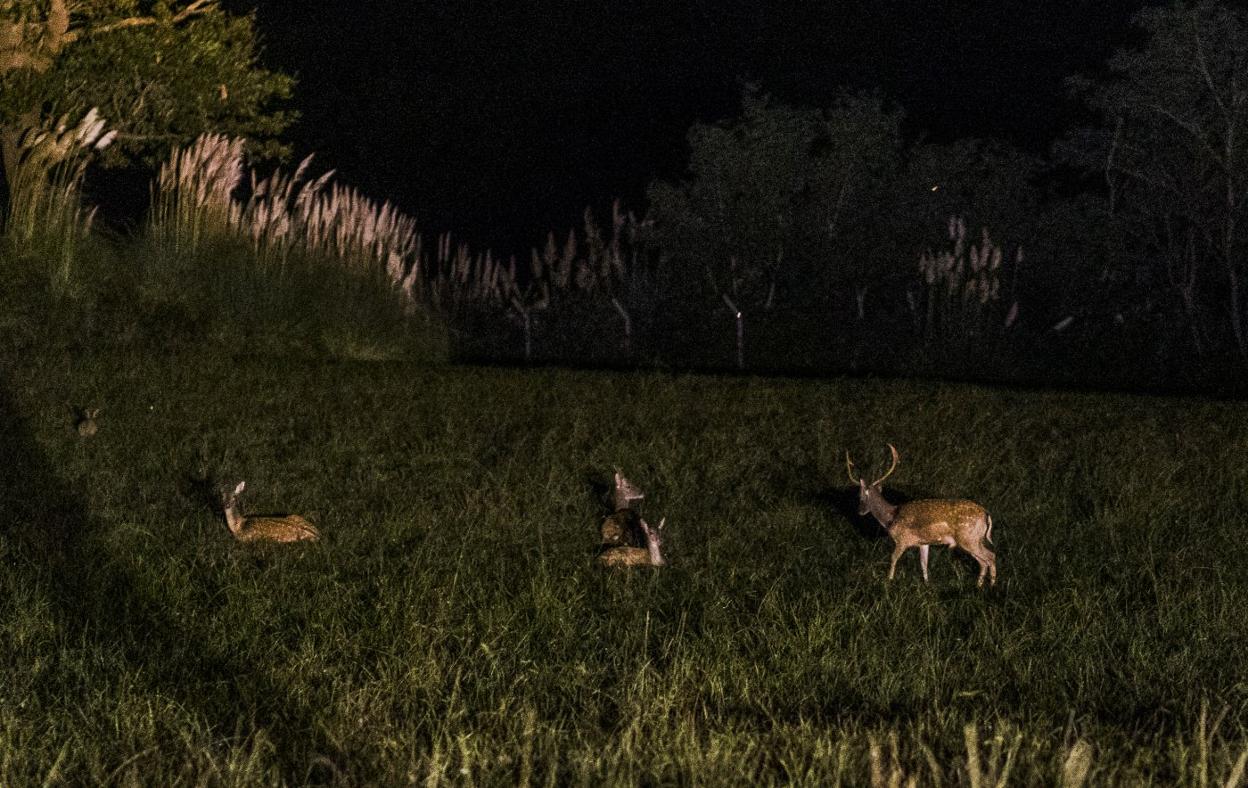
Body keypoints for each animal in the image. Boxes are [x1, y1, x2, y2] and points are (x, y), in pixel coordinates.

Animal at [843, 444, 998, 586]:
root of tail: (987, 515)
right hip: (976, 539)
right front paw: (927, 584)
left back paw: (991, 586)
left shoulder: (902, 539)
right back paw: (979, 586)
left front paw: (889, 580)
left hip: (968, 538)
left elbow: (893, 558)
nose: (859, 511)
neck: (890, 518)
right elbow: (924, 564)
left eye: (860, 497)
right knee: (984, 561)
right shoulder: (923, 543)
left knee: (990, 557)